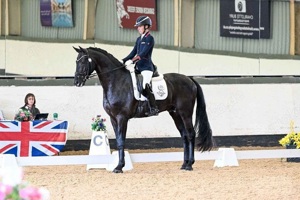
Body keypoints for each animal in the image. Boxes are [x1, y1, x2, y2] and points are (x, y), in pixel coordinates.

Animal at [73, 46, 213, 173]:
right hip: (175, 113)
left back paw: (190, 165)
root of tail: (190, 79)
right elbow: (118, 141)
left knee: (190, 134)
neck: (116, 81)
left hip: (185, 113)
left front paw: (119, 167)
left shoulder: (122, 117)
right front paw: (118, 165)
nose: (77, 82)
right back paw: (184, 164)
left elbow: (121, 141)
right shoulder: (113, 118)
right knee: (184, 135)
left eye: (83, 61)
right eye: (76, 61)